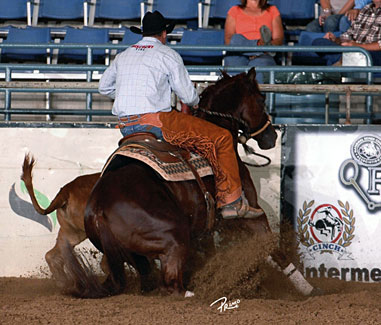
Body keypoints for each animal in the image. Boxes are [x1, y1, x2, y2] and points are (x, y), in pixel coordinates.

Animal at [59, 67, 314, 296]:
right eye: (261, 100)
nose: (271, 136)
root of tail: (99, 208)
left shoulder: (205, 230)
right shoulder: (252, 212)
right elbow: (274, 247)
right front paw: (308, 288)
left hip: (132, 255)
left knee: (144, 281)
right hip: (174, 236)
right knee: (171, 286)